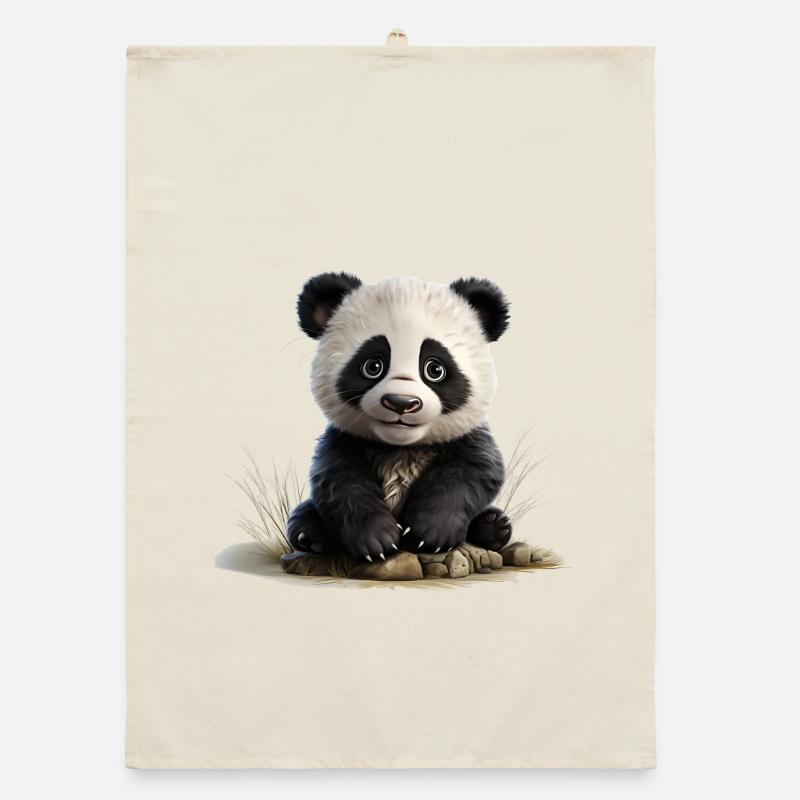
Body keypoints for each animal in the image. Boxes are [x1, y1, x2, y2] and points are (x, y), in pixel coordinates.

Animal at [287, 272, 513, 562]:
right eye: (373, 366)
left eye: (435, 369)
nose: (401, 403)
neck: (402, 447)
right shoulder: (342, 438)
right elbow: (340, 481)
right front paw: (376, 540)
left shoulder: (469, 437)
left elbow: (472, 473)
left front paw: (430, 534)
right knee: (304, 515)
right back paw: (311, 535)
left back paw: (493, 527)